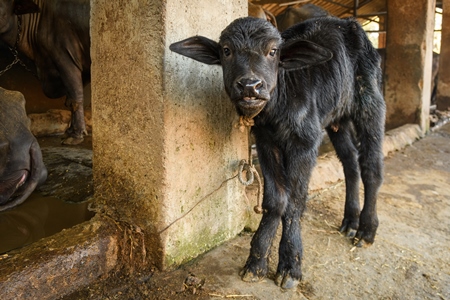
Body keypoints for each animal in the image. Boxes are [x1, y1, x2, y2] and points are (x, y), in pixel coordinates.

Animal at [171, 15, 384, 288]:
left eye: (272, 51)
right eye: (227, 51)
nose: (250, 86)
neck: (280, 105)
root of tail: (348, 24)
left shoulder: (305, 143)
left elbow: (294, 202)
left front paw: (291, 264)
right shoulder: (265, 141)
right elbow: (275, 200)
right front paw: (256, 261)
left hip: (371, 104)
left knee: (371, 167)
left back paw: (367, 230)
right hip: (337, 120)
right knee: (350, 162)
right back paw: (350, 221)